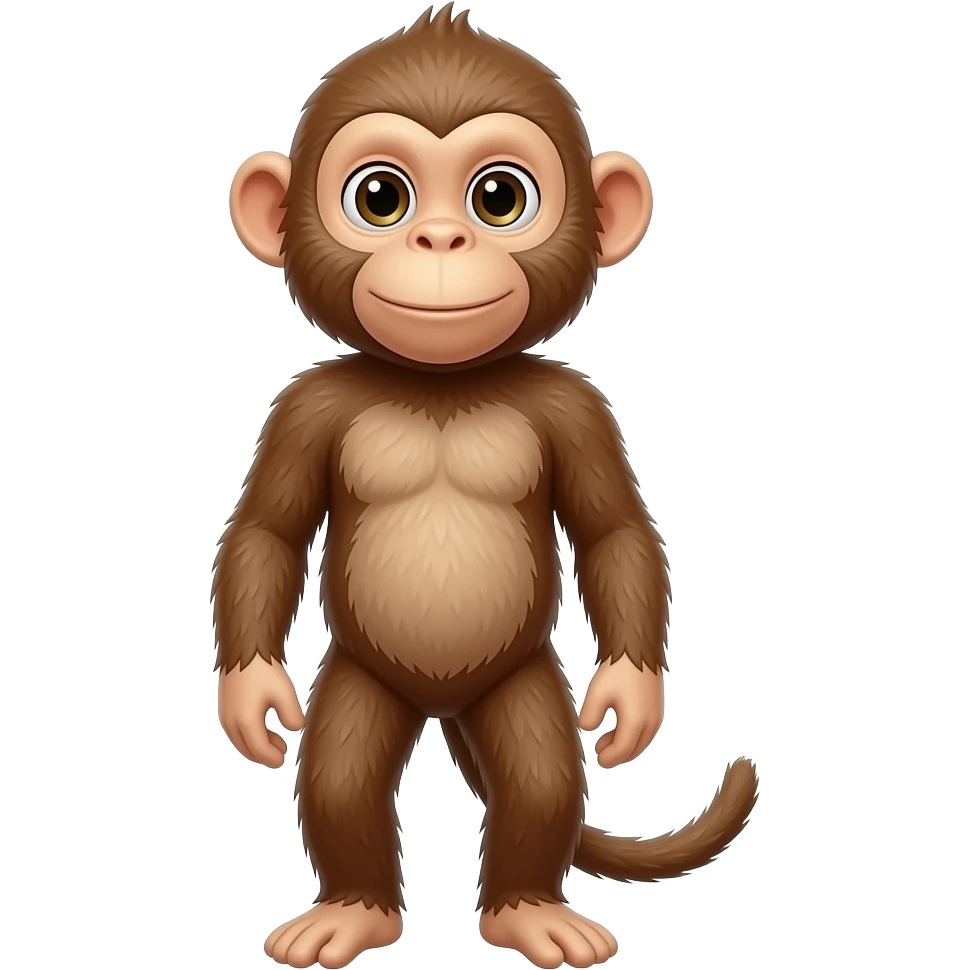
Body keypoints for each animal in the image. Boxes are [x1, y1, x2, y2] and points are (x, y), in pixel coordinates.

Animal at [213, 5, 759, 969]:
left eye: (499, 198)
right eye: (380, 198)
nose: (440, 241)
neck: (443, 384)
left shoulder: (577, 407)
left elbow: (616, 532)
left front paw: (630, 698)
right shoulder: (303, 407)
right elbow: (267, 533)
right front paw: (253, 698)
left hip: (520, 678)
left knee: (540, 773)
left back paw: (527, 910)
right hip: (362, 680)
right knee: (342, 774)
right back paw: (352, 911)